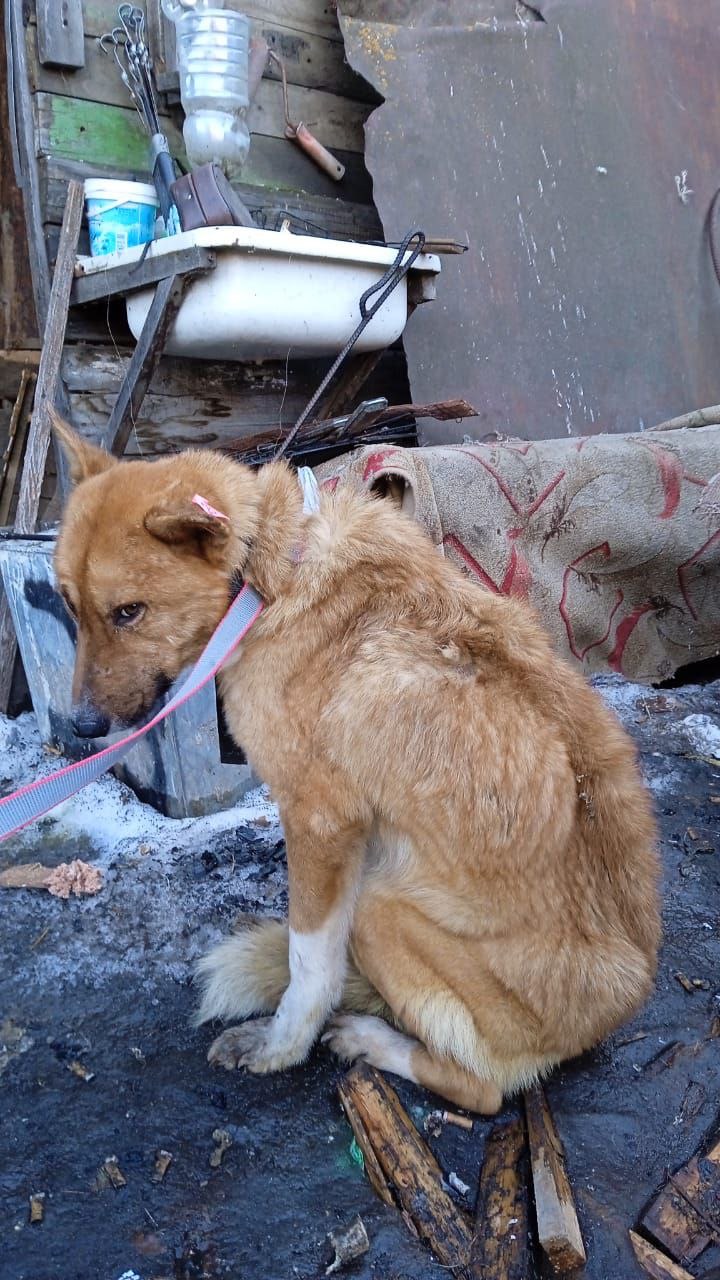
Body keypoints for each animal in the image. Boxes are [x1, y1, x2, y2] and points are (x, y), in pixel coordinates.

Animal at [51, 417, 655, 1111]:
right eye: (70, 607)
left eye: (129, 612)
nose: (81, 728)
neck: (268, 574)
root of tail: (610, 1013)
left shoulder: (319, 823)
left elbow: (308, 963)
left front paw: (281, 1047)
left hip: (378, 907)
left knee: (480, 1085)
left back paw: (374, 1039)